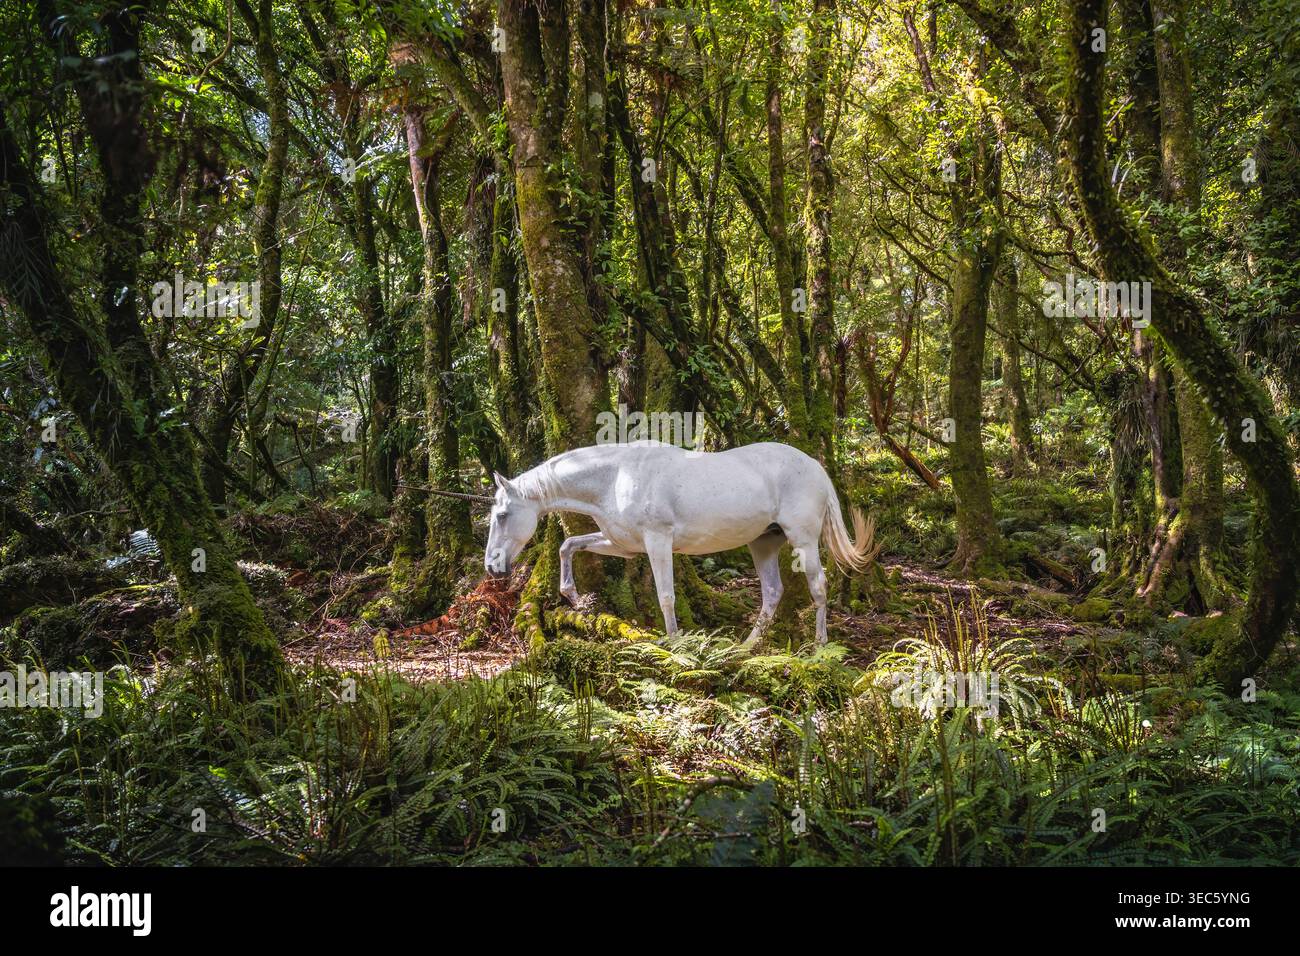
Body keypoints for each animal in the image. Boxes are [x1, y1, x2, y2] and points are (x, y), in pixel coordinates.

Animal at [482, 440, 878, 645]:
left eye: (502, 515)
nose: (492, 565)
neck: (615, 476)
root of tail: (815, 466)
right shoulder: (624, 545)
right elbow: (569, 545)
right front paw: (574, 596)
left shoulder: (658, 541)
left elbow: (666, 595)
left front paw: (673, 642)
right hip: (763, 544)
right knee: (772, 592)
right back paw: (748, 646)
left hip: (803, 539)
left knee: (819, 586)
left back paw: (820, 646)